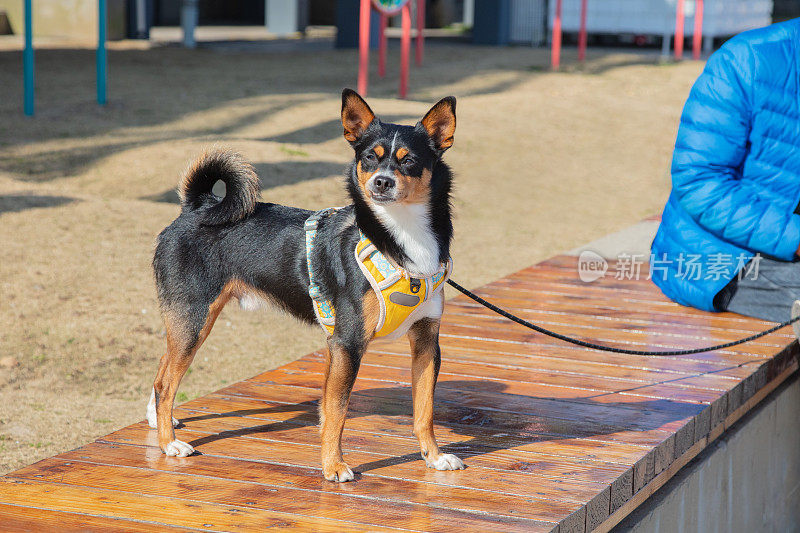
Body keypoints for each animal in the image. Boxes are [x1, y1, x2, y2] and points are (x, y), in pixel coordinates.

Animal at [147, 89, 466, 480]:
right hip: (194, 318)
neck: (400, 237)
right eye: (368, 158)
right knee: (166, 383)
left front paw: (433, 457)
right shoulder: (347, 343)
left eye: (409, 162)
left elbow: (424, 410)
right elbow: (337, 411)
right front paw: (334, 465)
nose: (381, 181)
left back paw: (160, 422)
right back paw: (169, 443)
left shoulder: (426, 343)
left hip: (187, 322)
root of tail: (198, 207)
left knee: (162, 371)